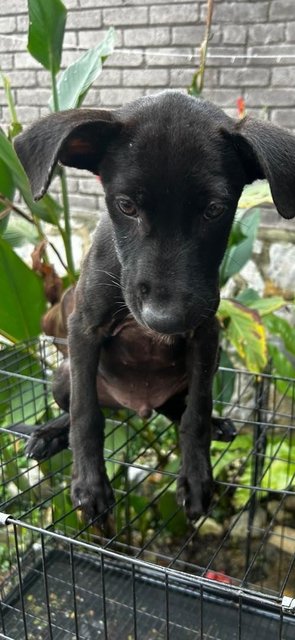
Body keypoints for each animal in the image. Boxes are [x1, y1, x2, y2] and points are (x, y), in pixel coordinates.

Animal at [15, 89, 295, 520]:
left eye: (214, 209)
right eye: (126, 206)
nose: (164, 319)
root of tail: (137, 407)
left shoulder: (206, 334)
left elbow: (197, 412)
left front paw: (196, 478)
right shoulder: (84, 328)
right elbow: (85, 414)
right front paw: (89, 484)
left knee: (179, 408)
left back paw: (213, 424)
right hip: (62, 374)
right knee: (76, 404)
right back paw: (48, 434)